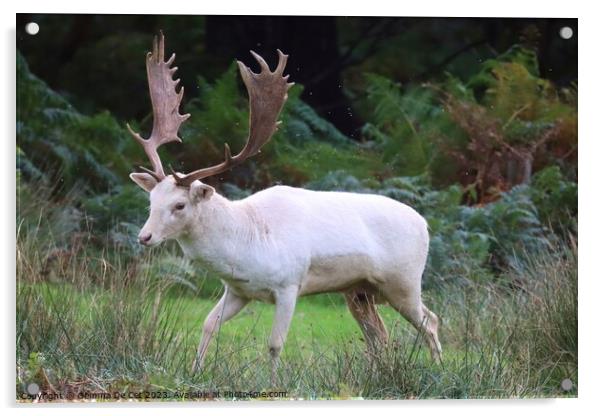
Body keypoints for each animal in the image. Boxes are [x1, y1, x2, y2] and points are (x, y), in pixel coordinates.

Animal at [126, 31, 440, 376]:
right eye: (151, 200)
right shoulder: (237, 290)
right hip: (358, 290)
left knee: (430, 321)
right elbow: (208, 324)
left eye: (180, 205)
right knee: (379, 336)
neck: (247, 243)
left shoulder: (290, 284)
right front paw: (195, 371)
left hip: (404, 280)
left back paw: (439, 370)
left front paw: (273, 382)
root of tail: (424, 224)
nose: (144, 237)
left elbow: (275, 343)